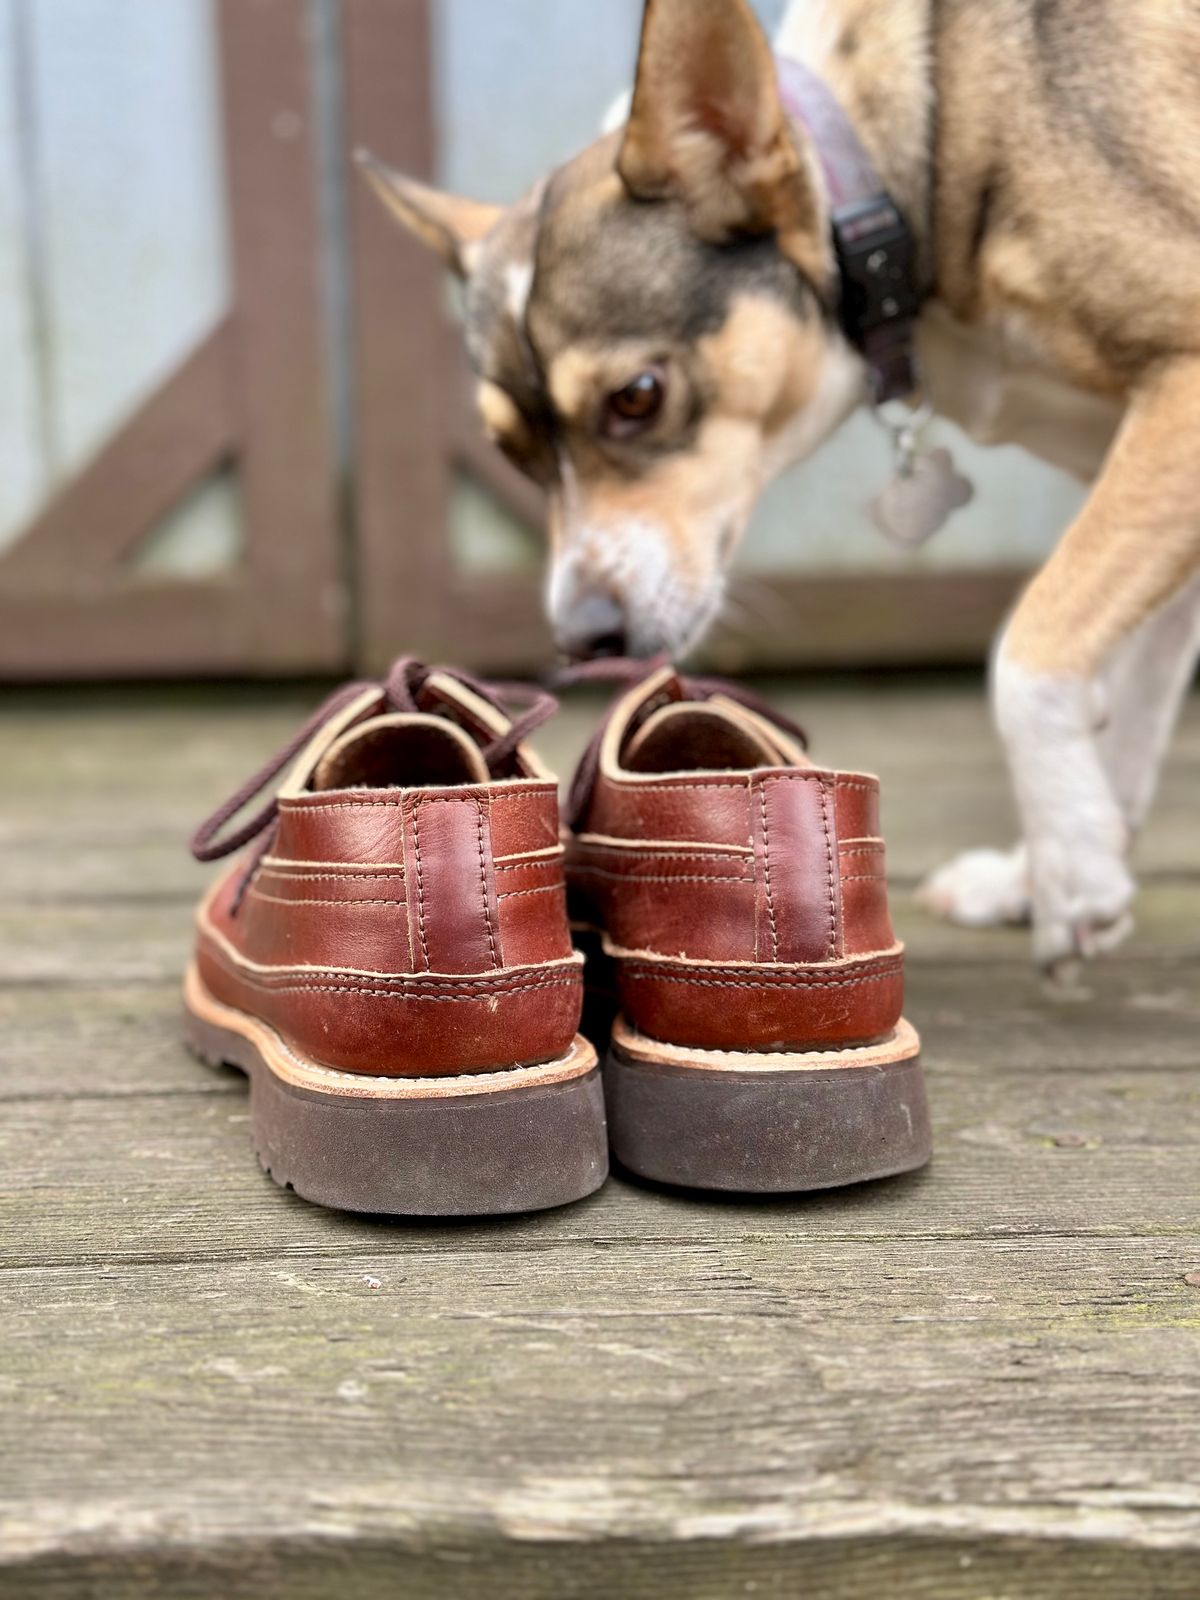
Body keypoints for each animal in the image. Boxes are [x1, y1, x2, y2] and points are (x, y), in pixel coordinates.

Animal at [361, 0, 1200, 979]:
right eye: (508, 450)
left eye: (636, 397)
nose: (581, 637)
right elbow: (1125, 707)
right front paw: (1063, 860)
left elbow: (1030, 655)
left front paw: (1070, 873)